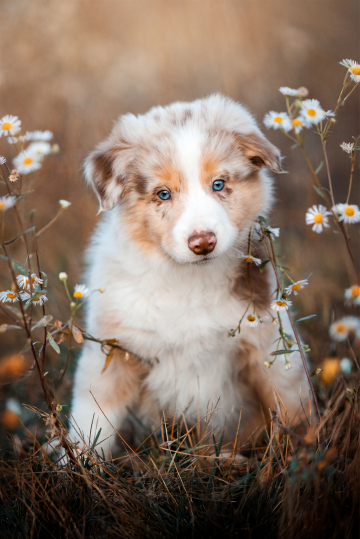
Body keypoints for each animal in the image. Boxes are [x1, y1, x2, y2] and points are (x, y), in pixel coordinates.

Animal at [70, 96, 310, 456]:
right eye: (163, 194)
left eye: (219, 184)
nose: (203, 242)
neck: (187, 281)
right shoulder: (113, 351)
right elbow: (90, 423)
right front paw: (72, 464)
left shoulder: (269, 349)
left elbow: (291, 408)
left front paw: (309, 455)